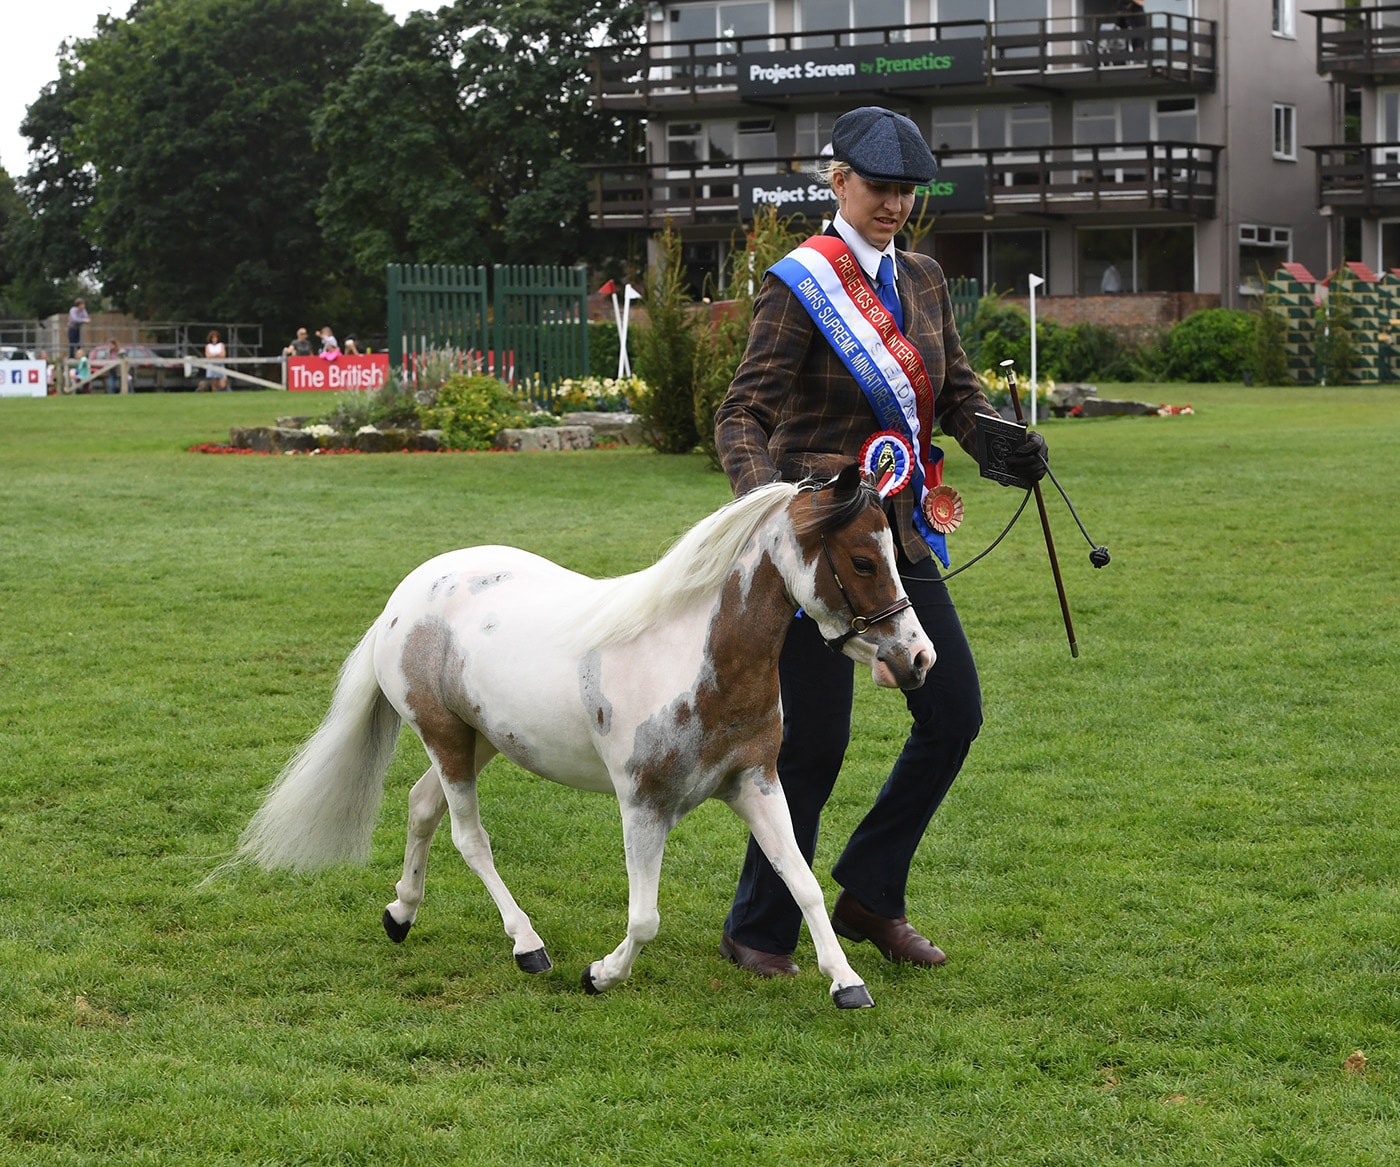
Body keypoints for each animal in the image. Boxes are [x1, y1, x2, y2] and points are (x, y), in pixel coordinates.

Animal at [235, 458, 935, 1007]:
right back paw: (528, 946)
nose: (918, 659)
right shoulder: (644, 805)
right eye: (863, 560)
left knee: (421, 806)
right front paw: (600, 975)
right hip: (445, 737)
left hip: (477, 740)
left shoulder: (755, 785)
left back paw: (401, 914)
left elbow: (803, 882)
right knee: (468, 836)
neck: (693, 656)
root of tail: (404, 598)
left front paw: (846, 983)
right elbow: (646, 917)